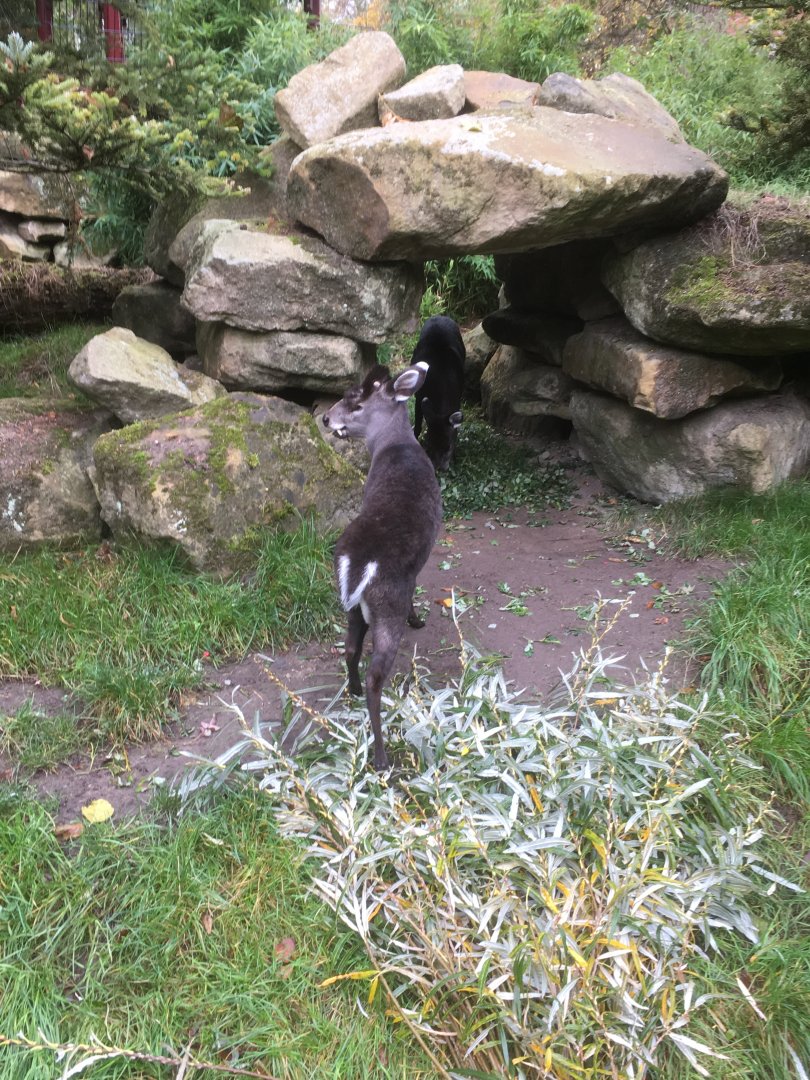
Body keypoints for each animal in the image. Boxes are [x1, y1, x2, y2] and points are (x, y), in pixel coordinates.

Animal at [322, 361, 442, 771]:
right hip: (387, 603)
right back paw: (381, 757)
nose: (326, 418)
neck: (395, 446)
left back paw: (353, 690)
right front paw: (419, 618)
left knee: (348, 648)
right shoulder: (417, 567)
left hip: (354, 605)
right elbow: (420, 585)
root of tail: (356, 563)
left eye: (355, 403)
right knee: (377, 675)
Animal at [412, 315, 466, 472]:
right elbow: (418, 423)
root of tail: (439, 316)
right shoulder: (419, 396)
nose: (439, 468)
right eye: (429, 446)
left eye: (448, 447)